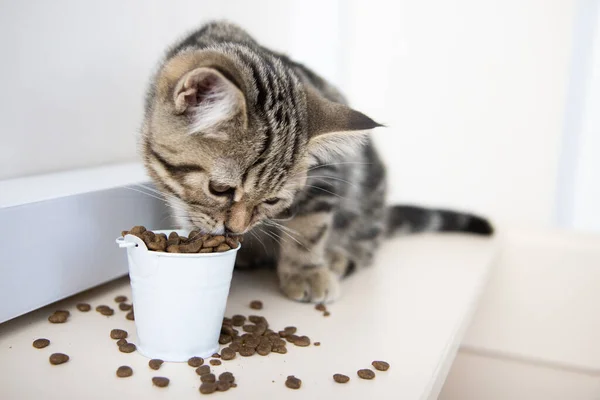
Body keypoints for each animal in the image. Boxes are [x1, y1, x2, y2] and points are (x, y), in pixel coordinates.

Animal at [141, 21, 492, 304]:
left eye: (272, 200)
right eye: (219, 189)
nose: (236, 229)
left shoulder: (327, 172)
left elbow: (309, 225)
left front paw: (306, 272)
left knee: (367, 243)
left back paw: (338, 256)